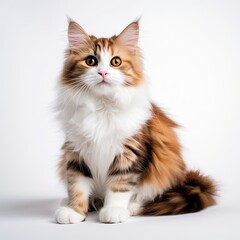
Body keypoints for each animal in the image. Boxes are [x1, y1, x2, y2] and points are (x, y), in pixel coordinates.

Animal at [54, 20, 216, 223]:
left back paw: (132, 207)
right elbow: (77, 186)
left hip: (167, 170)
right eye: (91, 61)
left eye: (115, 61)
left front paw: (113, 211)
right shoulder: (76, 152)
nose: (103, 73)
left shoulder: (130, 152)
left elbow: (119, 186)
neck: (102, 105)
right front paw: (74, 211)